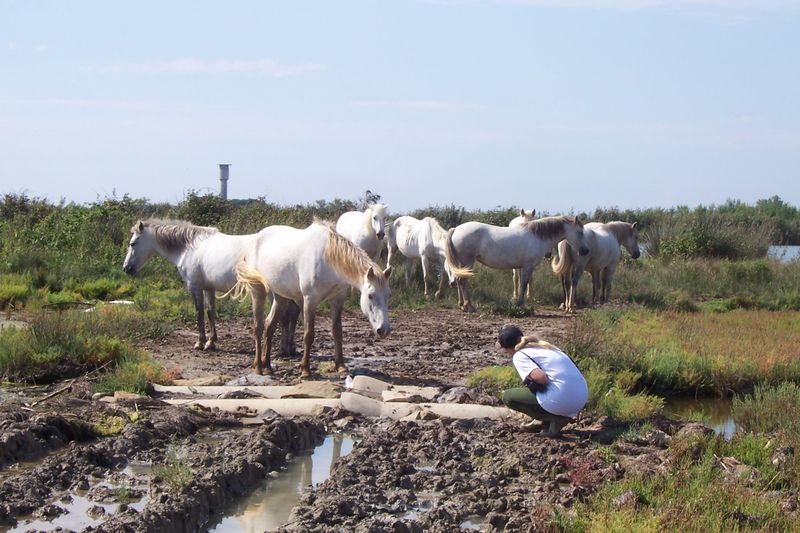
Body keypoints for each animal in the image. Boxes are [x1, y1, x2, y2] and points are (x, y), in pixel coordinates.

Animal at [123, 219, 298, 354]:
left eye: (133, 243)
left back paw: (283, 349)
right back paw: (290, 348)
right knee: (293, 313)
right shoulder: (209, 288)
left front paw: (200, 343)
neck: (189, 248)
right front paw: (211, 342)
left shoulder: (194, 286)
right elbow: (210, 312)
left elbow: (199, 313)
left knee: (286, 314)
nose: (126, 268)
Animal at [230, 218, 392, 376]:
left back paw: (267, 366)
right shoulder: (309, 300)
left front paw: (341, 366)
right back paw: (258, 366)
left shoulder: (338, 300)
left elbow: (337, 332)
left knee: (269, 325)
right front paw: (305, 370)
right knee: (258, 327)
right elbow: (309, 334)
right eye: (370, 296)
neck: (329, 260)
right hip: (258, 290)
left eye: (388, 296)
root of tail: (256, 238)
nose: (383, 330)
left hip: (281, 297)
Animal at [444, 214, 588, 310]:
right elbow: (523, 285)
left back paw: (462, 305)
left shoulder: (523, 267)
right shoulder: (528, 266)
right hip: (467, 262)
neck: (537, 236)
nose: (585, 250)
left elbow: (521, 284)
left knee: (459, 281)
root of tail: (455, 229)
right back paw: (468, 306)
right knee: (462, 281)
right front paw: (520, 304)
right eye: (580, 232)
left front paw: (519, 302)